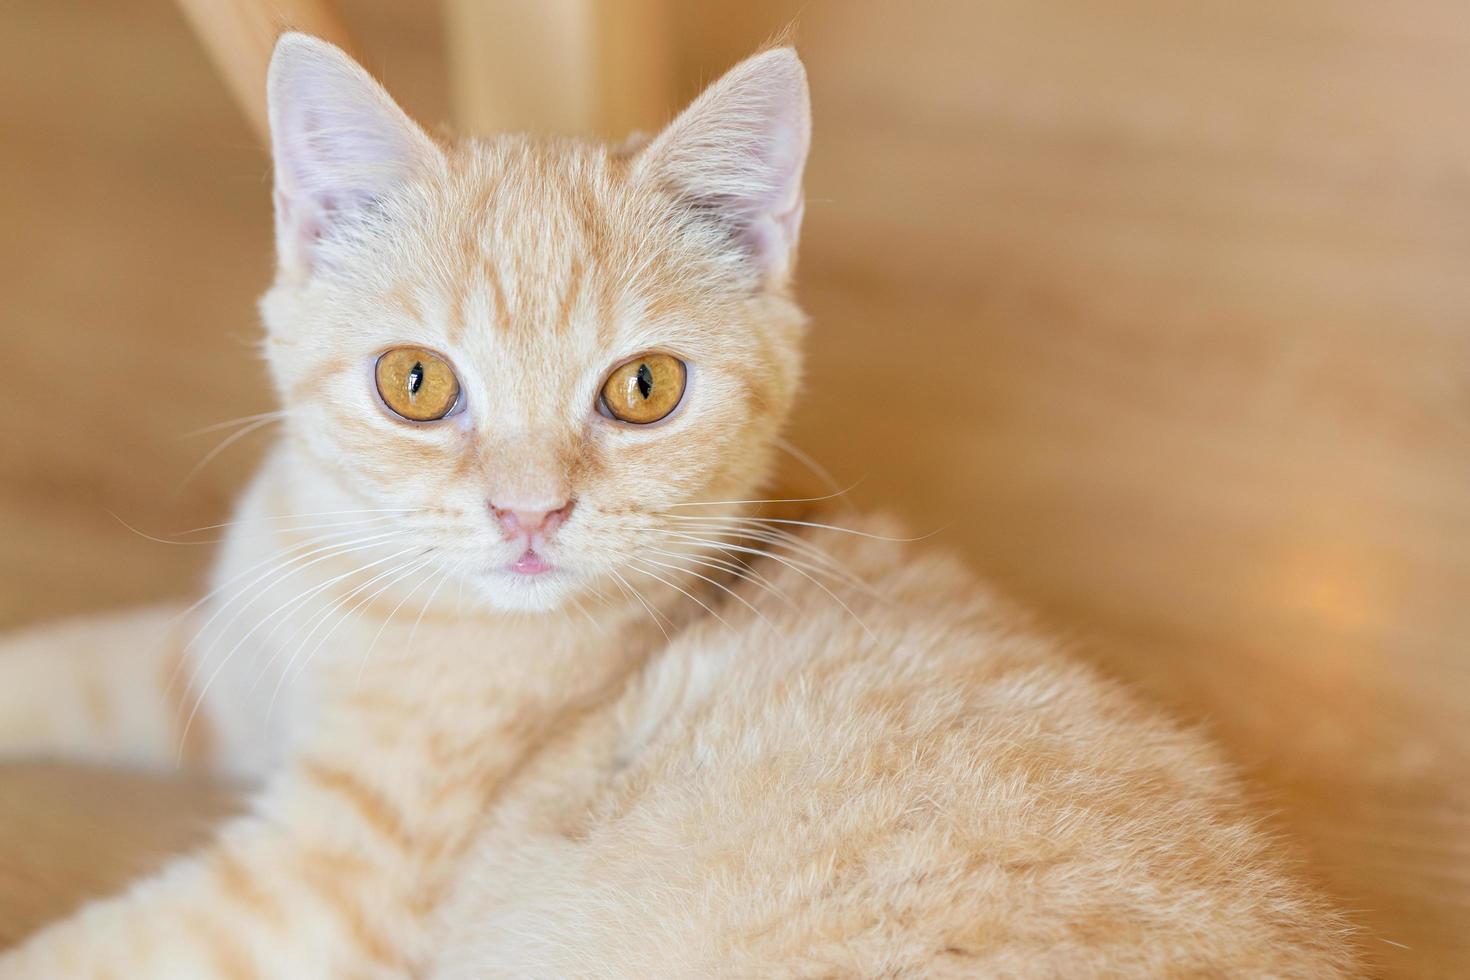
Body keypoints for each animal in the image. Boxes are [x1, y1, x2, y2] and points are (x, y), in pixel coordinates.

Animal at [0, 32, 1352, 980]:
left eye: (643, 388)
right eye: (416, 382)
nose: (529, 515)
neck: (344, 574)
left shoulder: (322, 892)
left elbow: (91, 952)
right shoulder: (216, 668)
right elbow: (78, 661)